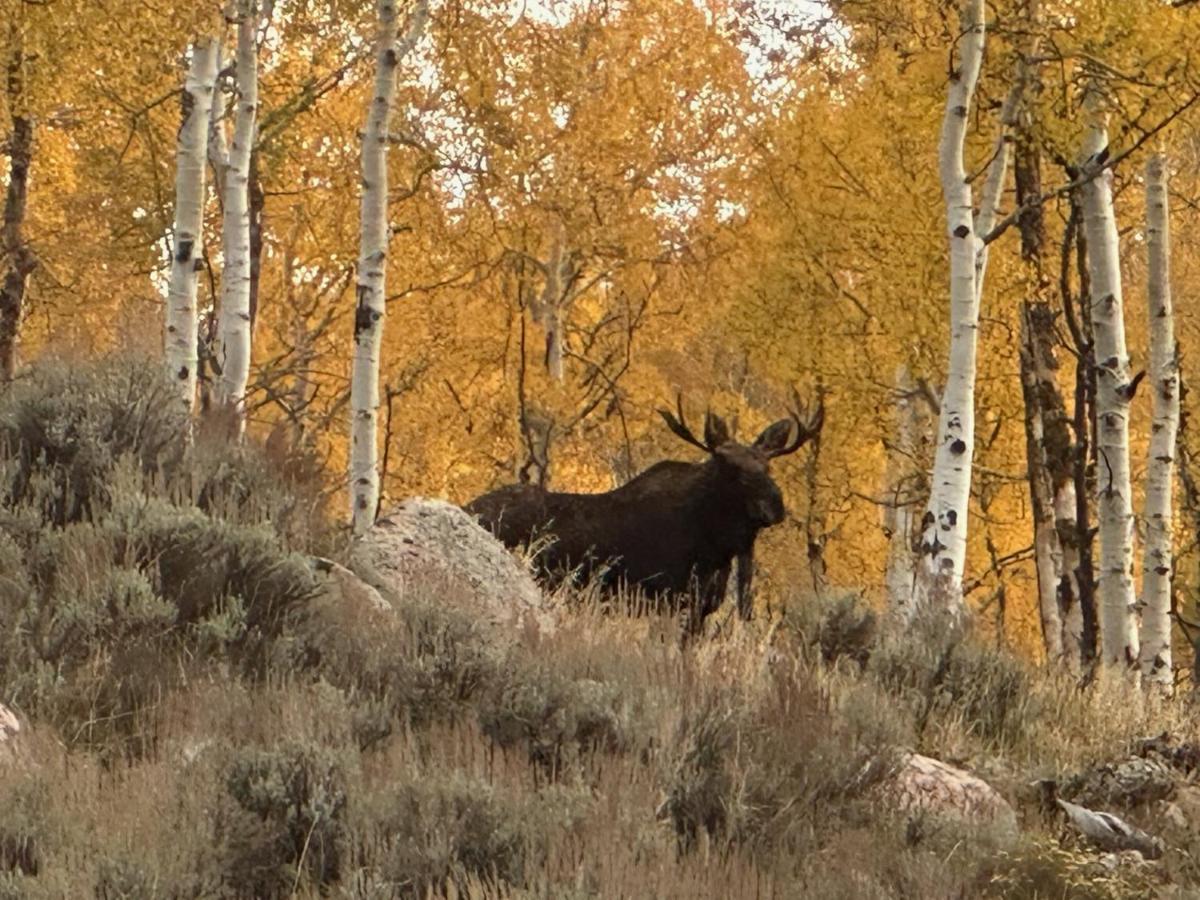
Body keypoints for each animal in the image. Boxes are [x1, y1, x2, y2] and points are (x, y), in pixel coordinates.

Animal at [460, 393, 825, 633]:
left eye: (767, 466)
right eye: (730, 468)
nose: (774, 506)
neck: (717, 548)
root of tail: (468, 507)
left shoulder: (699, 610)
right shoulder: (664, 602)